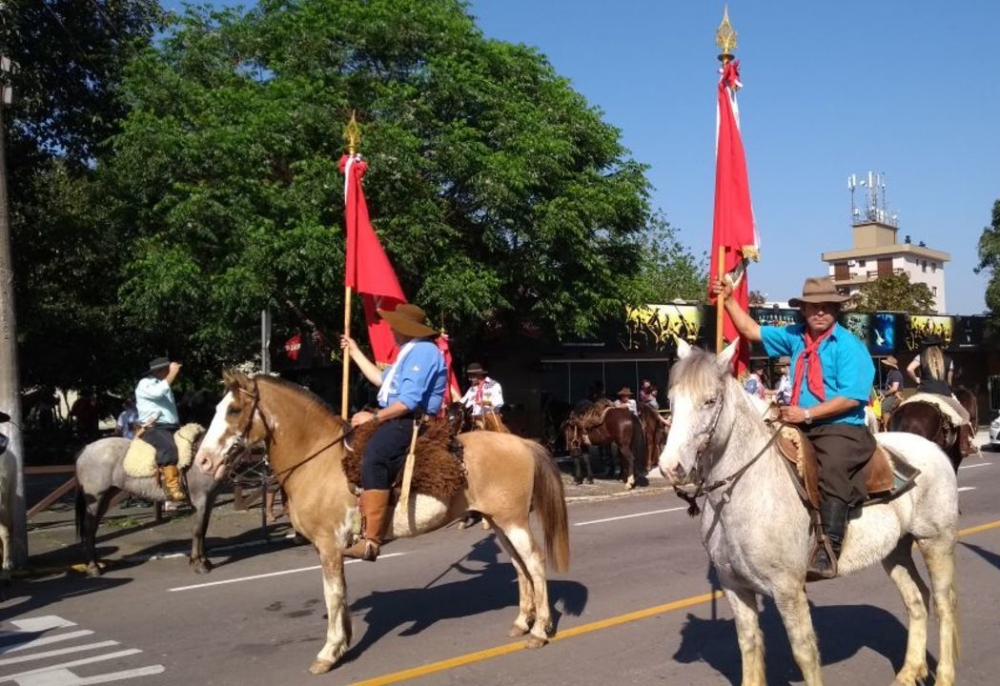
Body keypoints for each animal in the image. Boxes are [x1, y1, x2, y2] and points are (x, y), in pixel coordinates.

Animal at [74, 436, 225, 576]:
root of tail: (86, 449)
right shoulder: (200, 501)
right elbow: (198, 531)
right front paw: (198, 564)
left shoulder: (209, 500)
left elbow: (203, 530)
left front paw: (204, 561)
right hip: (96, 500)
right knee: (89, 528)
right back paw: (93, 567)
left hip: (106, 498)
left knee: (92, 529)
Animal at [195, 374, 572, 676]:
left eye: (233, 409)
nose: (202, 461)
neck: (319, 460)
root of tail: (522, 442)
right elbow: (341, 595)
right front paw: (343, 642)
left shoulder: (329, 545)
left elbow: (332, 595)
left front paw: (329, 652)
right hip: (497, 521)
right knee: (520, 566)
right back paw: (522, 622)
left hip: (513, 522)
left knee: (535, 563)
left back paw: (540, 631)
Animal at [660, 342, 956, 686]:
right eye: (672, 400)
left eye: (710, 400)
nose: (670, 467)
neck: (743, 492)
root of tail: (932, 449)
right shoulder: (734, 586)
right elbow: (748, 645)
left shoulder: (788, 589)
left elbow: (804, 653)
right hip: (896, 550)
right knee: (916, 599)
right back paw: (909, 672)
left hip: (936, 542)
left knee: (944, 604)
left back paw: (944, 676)